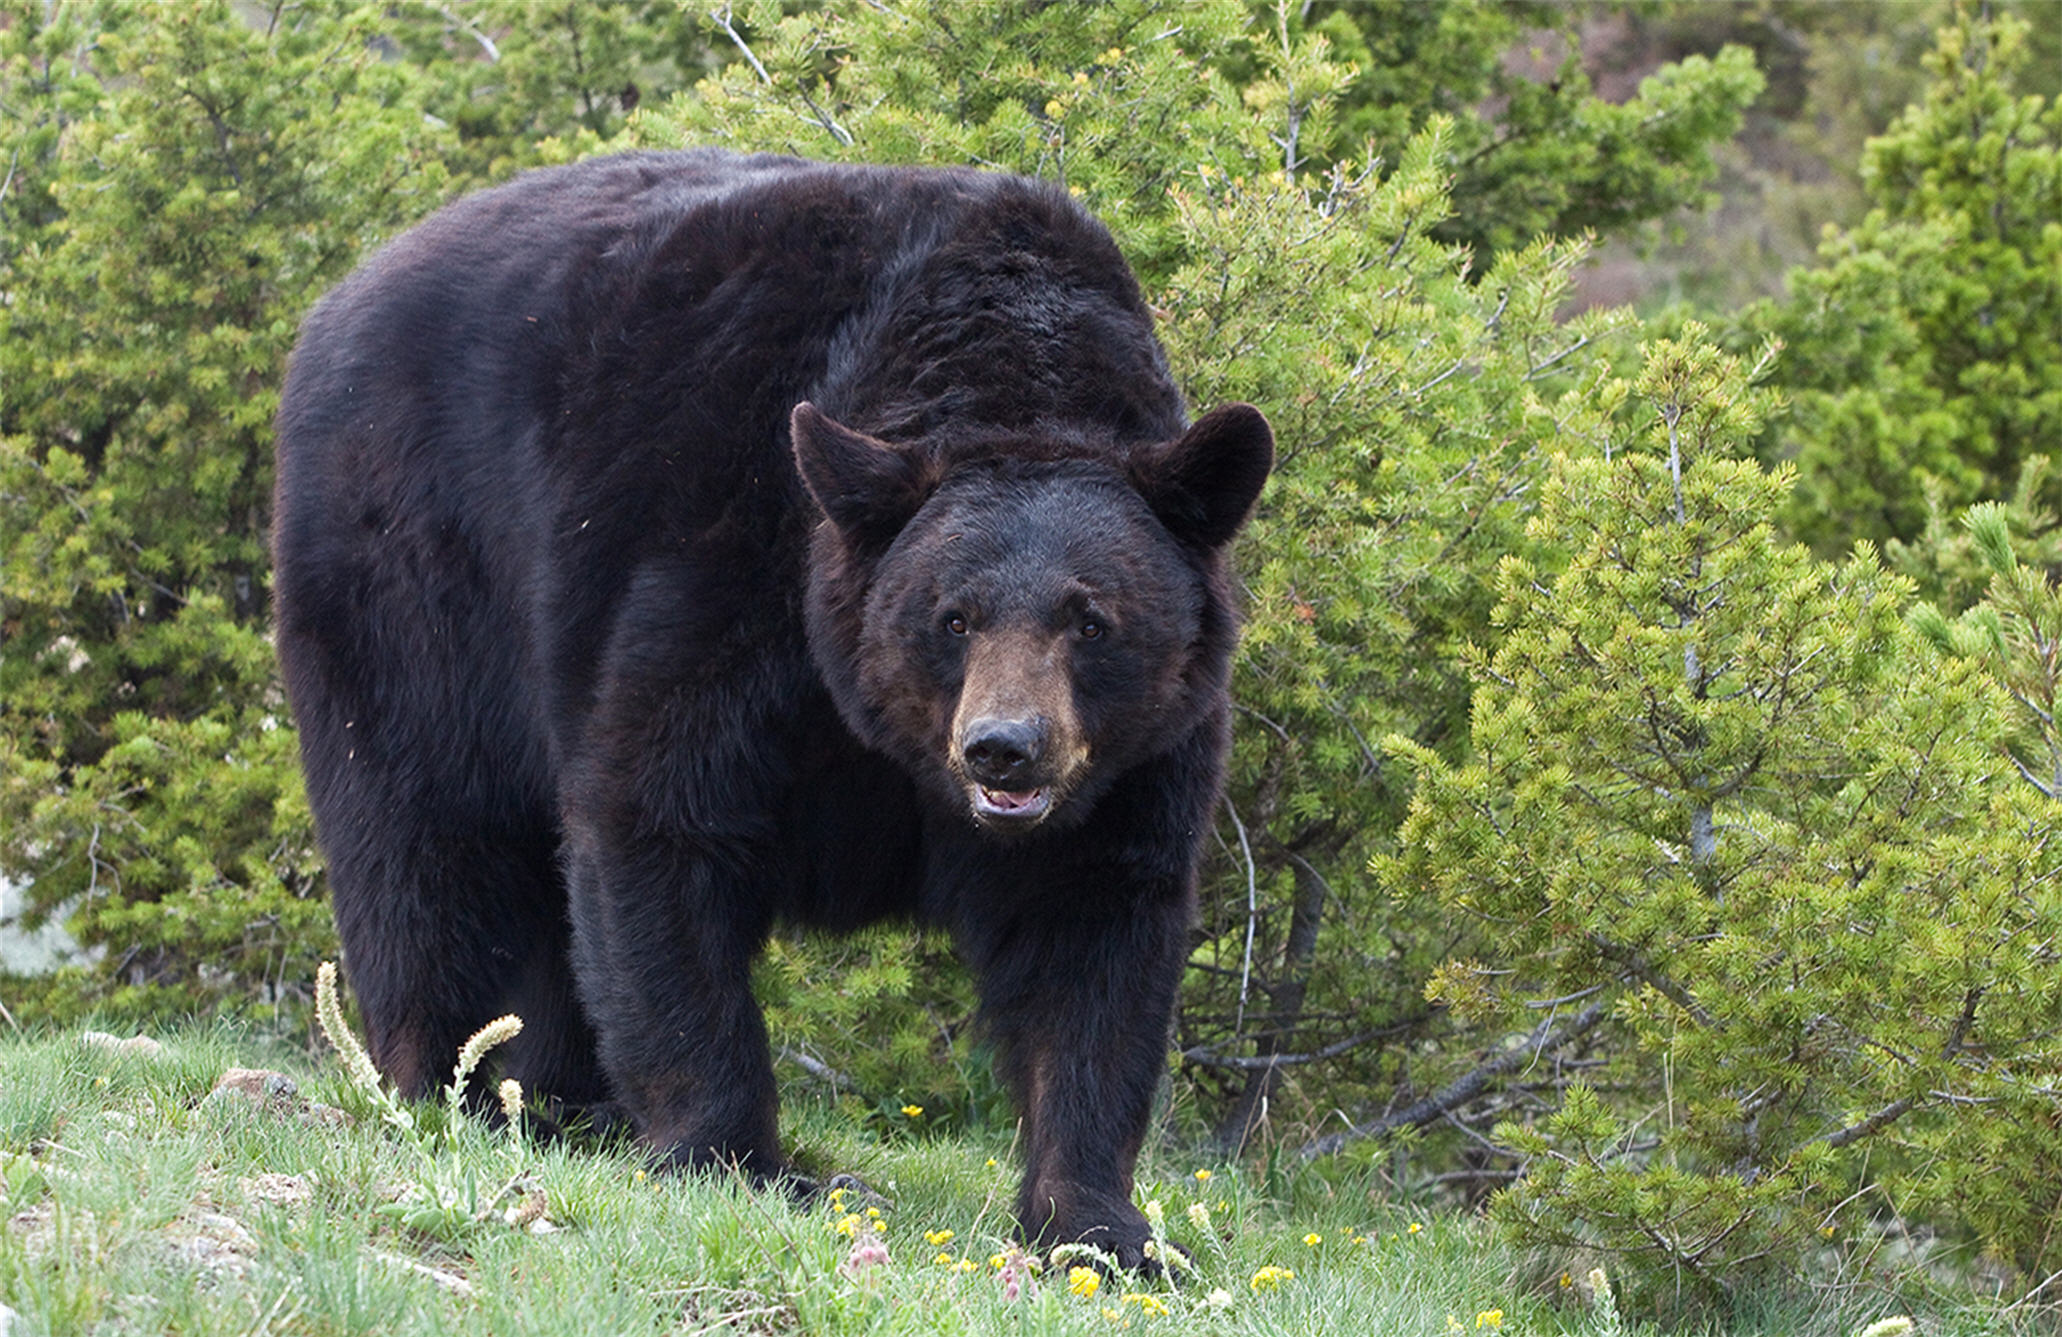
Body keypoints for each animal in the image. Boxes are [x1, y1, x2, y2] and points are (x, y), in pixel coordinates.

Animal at [270, 148, 1270, 1262]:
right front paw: (732, 1153)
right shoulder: (731, 571)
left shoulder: (1138, 759)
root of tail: (341, 293)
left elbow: (1097, 933)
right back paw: (450, 1083)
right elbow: (662, 819)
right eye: (954, 615)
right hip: (413, 575)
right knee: (428, 835)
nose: (1003, 747)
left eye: (1090, 619)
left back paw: (569, 1103)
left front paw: (1098, 1221)